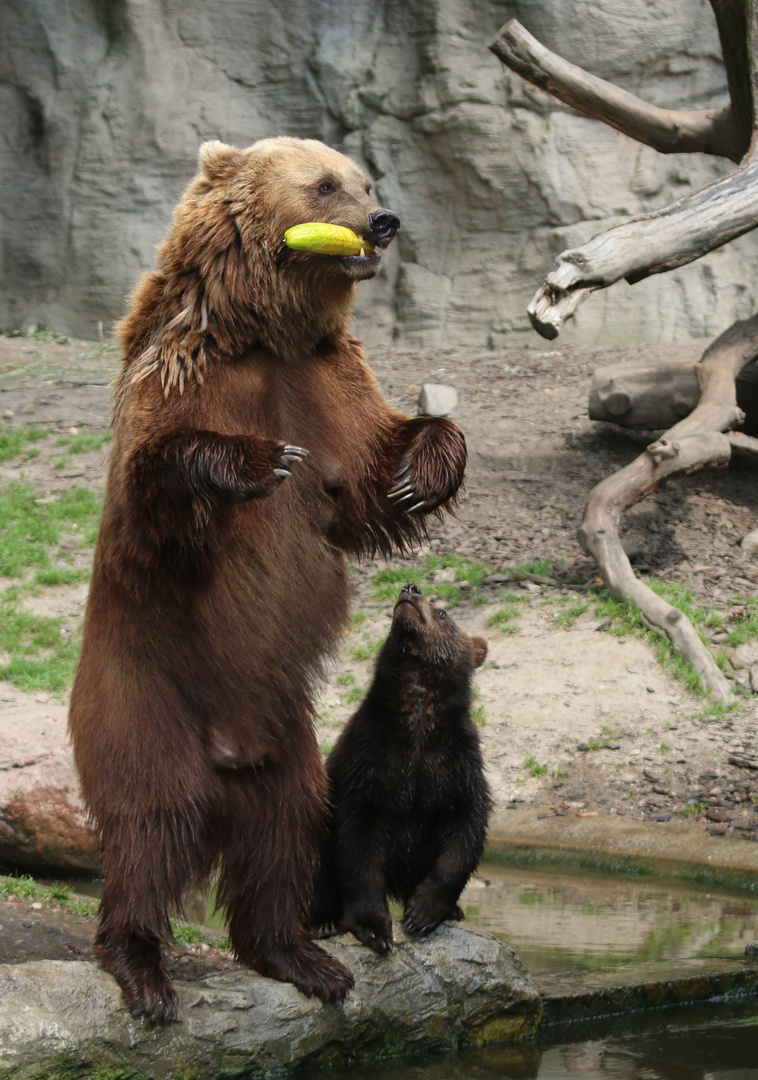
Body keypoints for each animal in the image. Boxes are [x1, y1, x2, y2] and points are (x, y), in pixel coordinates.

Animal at [68, 135, 468, 1019]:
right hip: (145, 700)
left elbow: (368, 475)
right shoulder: (186, 374)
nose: (383, 219)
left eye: (364, 180)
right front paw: (253, 464)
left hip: (290, 744)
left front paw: (423, 469)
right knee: (151, 828)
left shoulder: (328, 382)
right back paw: (143, 968)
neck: (263, 331)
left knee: (285, 834)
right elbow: (161, 485)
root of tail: (228, 754)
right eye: (324, 184)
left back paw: (300, 956)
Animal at [310, 583, 492, 954]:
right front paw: (375, 928)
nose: (411, 588)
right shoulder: (367, 763)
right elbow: (357, 843)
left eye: (442, 612)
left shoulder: (455, 764)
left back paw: (454, 909)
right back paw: (324, 920)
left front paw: (423, 911)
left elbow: (465, 828)